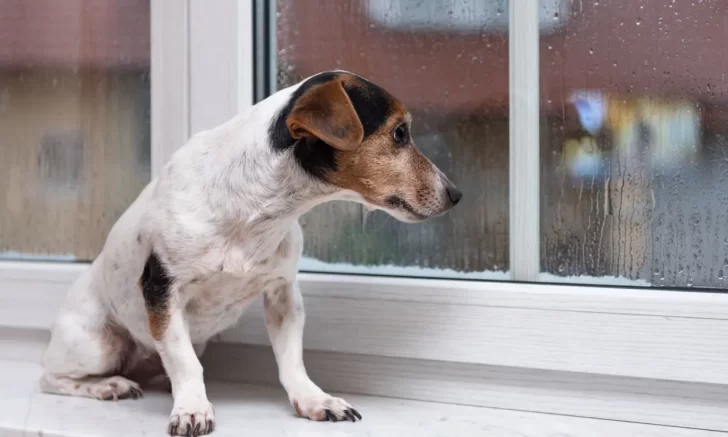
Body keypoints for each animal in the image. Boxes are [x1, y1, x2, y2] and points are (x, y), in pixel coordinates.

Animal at [41, 70, 460, 434]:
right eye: (400, 133)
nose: (457, 194)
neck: (259, 210)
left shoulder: (283, 294)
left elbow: (291, 361)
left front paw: (315, 400)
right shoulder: (162, 292)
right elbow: (185, 363)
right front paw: (192, 409)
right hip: (100, 344)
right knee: (51, 377)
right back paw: (107, 385)